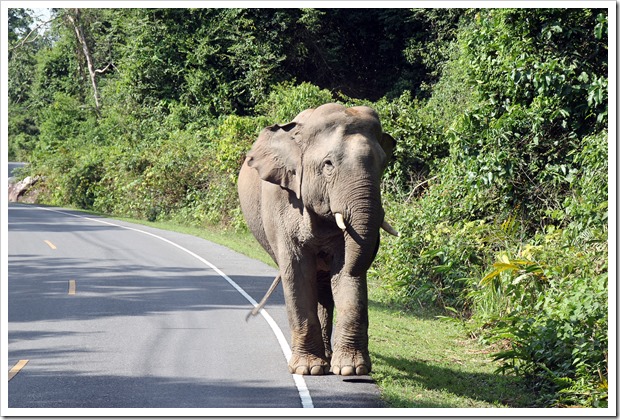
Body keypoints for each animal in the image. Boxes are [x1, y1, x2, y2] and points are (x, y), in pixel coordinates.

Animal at [237, 102, 398, 378]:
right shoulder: (282, 203)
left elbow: (345, 269)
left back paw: (330, 356)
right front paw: (308, 369)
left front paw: (351, 369)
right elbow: (297, 271)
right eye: (328, 164)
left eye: (382, 164)